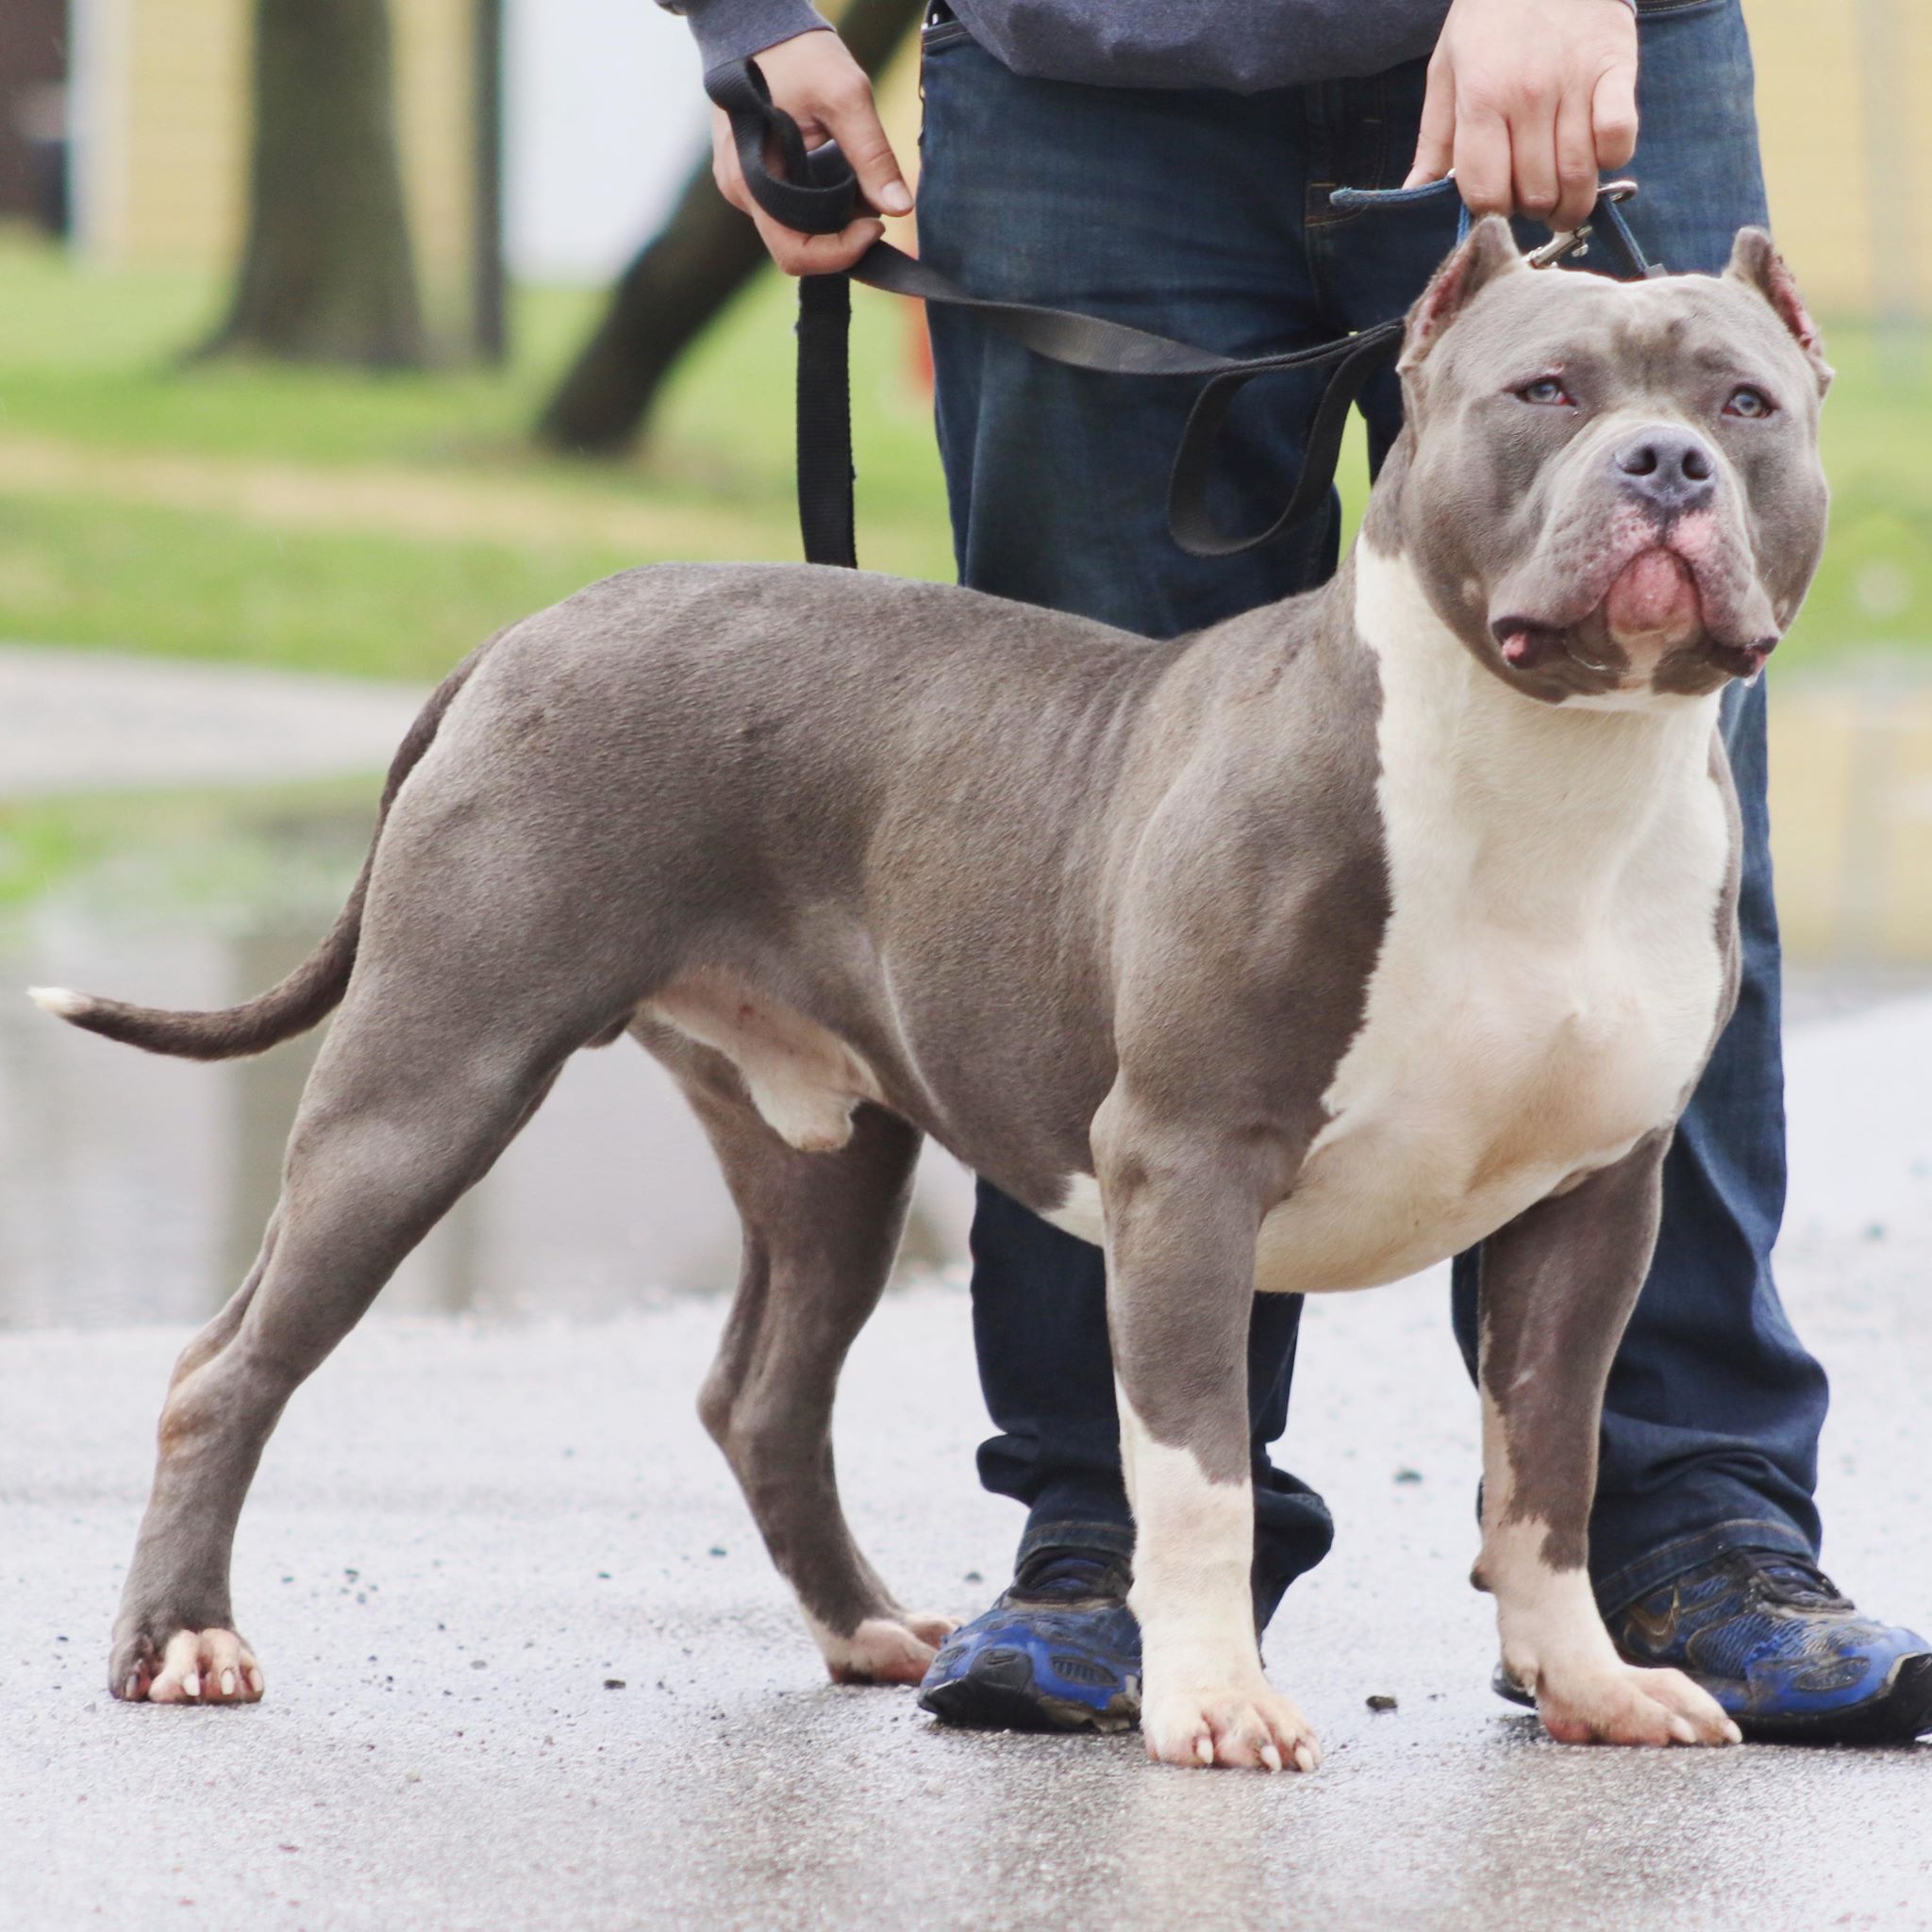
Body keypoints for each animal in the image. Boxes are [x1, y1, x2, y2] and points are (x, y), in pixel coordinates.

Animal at [37, 219, 1831, 1769]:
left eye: (1742, 404)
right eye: (1545, 393)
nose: (1663, 465)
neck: (1546, 771)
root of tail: (527, 628)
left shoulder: (1596, 1199)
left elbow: (1550, 1463)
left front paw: (1587, 1680)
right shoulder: (1186, 1168)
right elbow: (1196, 1473)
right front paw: (1212, 1700)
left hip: (825, 1148)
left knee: (761, 1396)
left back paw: (867, 1628)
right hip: (431, 1080)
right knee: (229, 1366)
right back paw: (184, 1638)